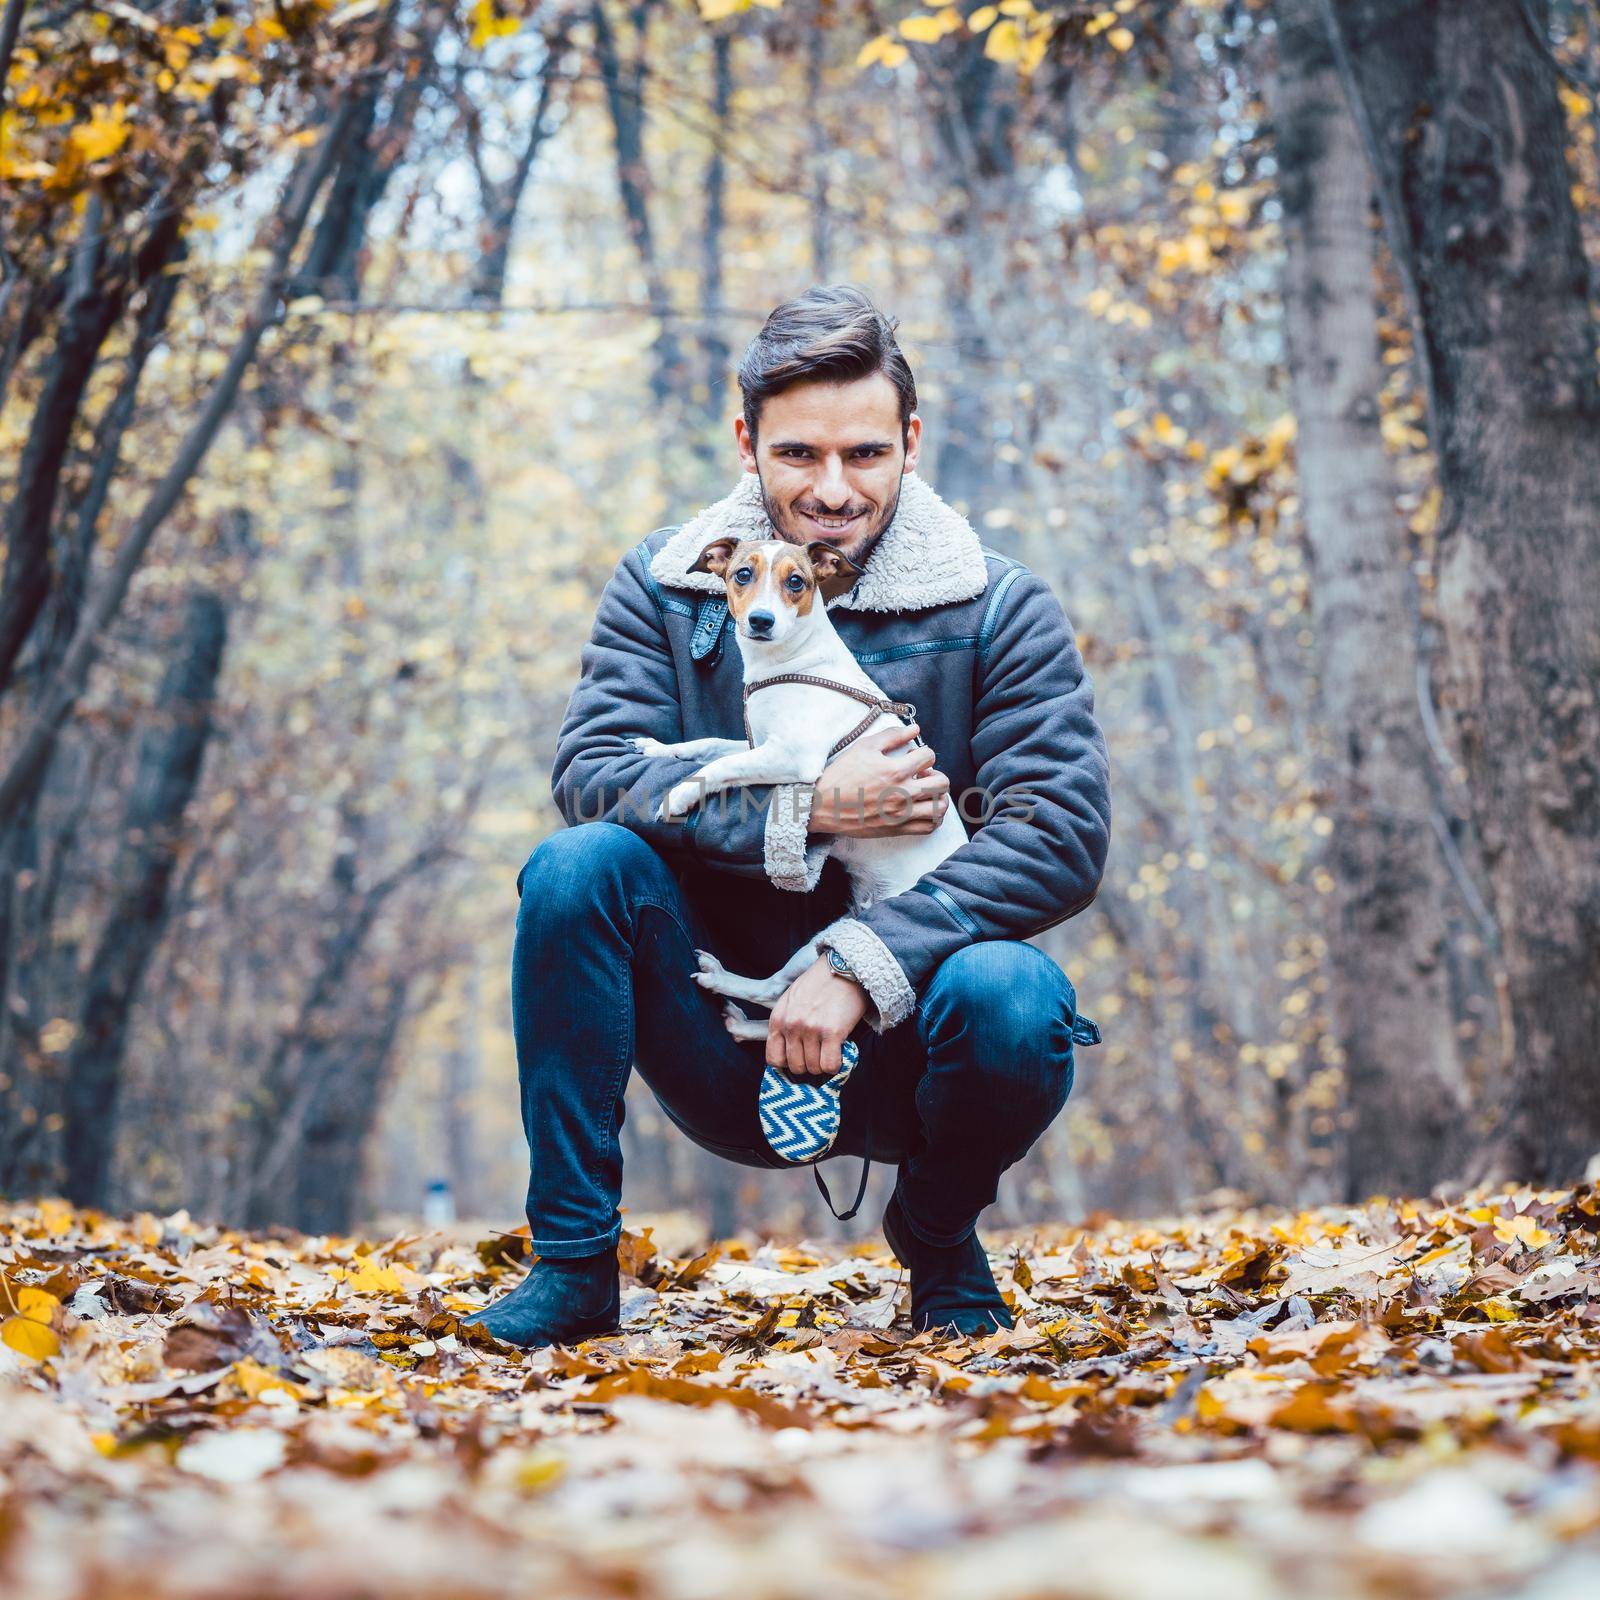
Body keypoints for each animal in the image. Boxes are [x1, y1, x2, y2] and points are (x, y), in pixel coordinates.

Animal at [633, 531, 960, 1043]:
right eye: (742, 574)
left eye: (796, 582)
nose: (761, 621)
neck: (789, 665)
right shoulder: (757, 741)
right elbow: (709, 746)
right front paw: (659, 749)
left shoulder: (790, 755)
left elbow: (723, 765)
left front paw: (682, 792)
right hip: (828, 938)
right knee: (774, 1000)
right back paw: (737, 1010)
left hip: (844, 945)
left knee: (773, 994)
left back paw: (723, 986)